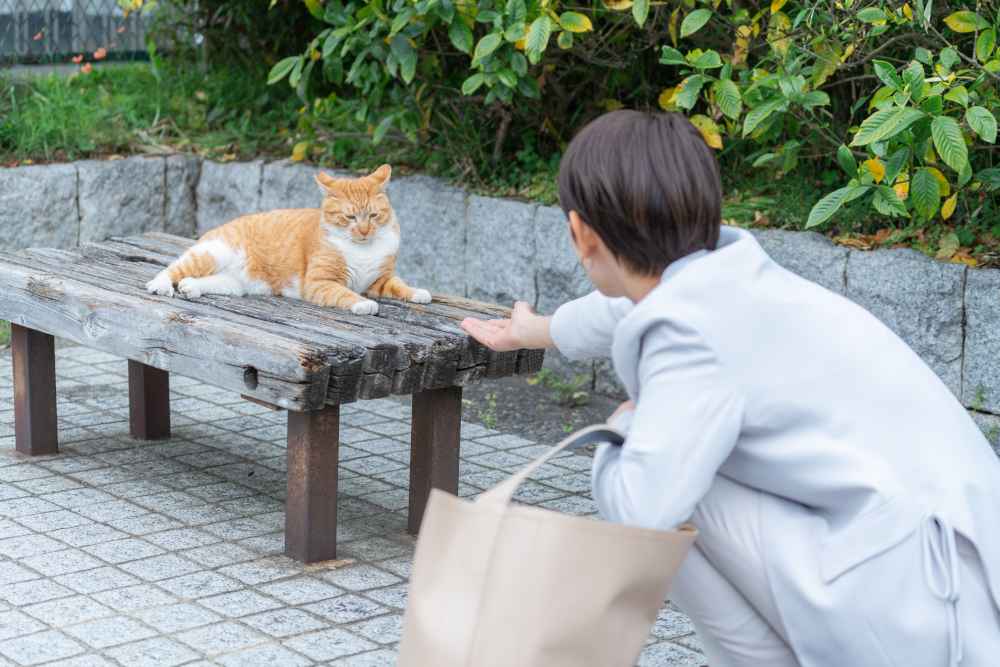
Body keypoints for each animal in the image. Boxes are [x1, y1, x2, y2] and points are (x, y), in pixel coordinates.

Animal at [146, 164, 430, 316]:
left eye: (373, 215)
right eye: (349, 217)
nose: (363, 231)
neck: (362, 249)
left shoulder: (380, 279)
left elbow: (399, 285)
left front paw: (418, 292)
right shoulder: (320, 282)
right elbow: (345, 293)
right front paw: (364, 304)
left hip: (233, 284)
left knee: (199, 280)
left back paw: (190, 288)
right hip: (212, 254)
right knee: (171, 270)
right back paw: (160, 286)